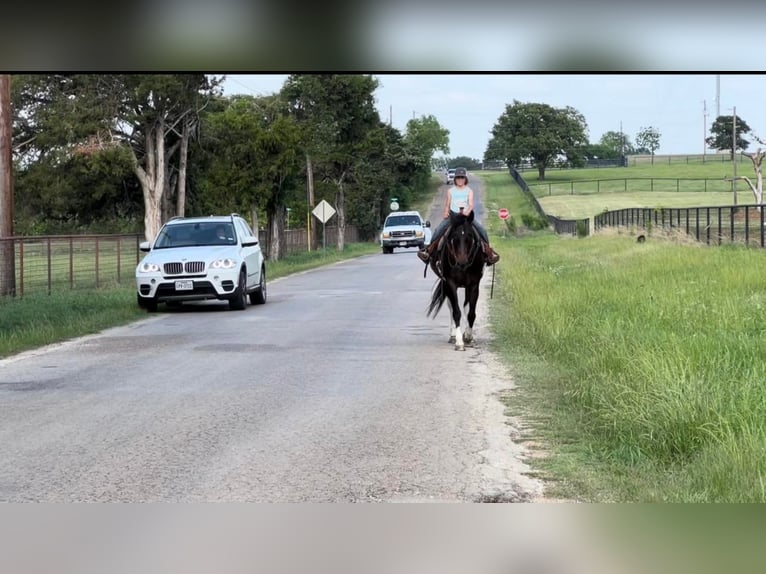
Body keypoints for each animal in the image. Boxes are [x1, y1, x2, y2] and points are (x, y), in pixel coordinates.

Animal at [426, 212, 486, 352]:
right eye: (454, 237)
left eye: (470, 236)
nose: (462, 262)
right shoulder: (450, 283)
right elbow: (456, 312)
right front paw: (459, 342)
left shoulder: (474, 285)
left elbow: (471, 313)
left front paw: (468, 337)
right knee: (451, 307)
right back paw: (453, 336)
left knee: (466, 306)